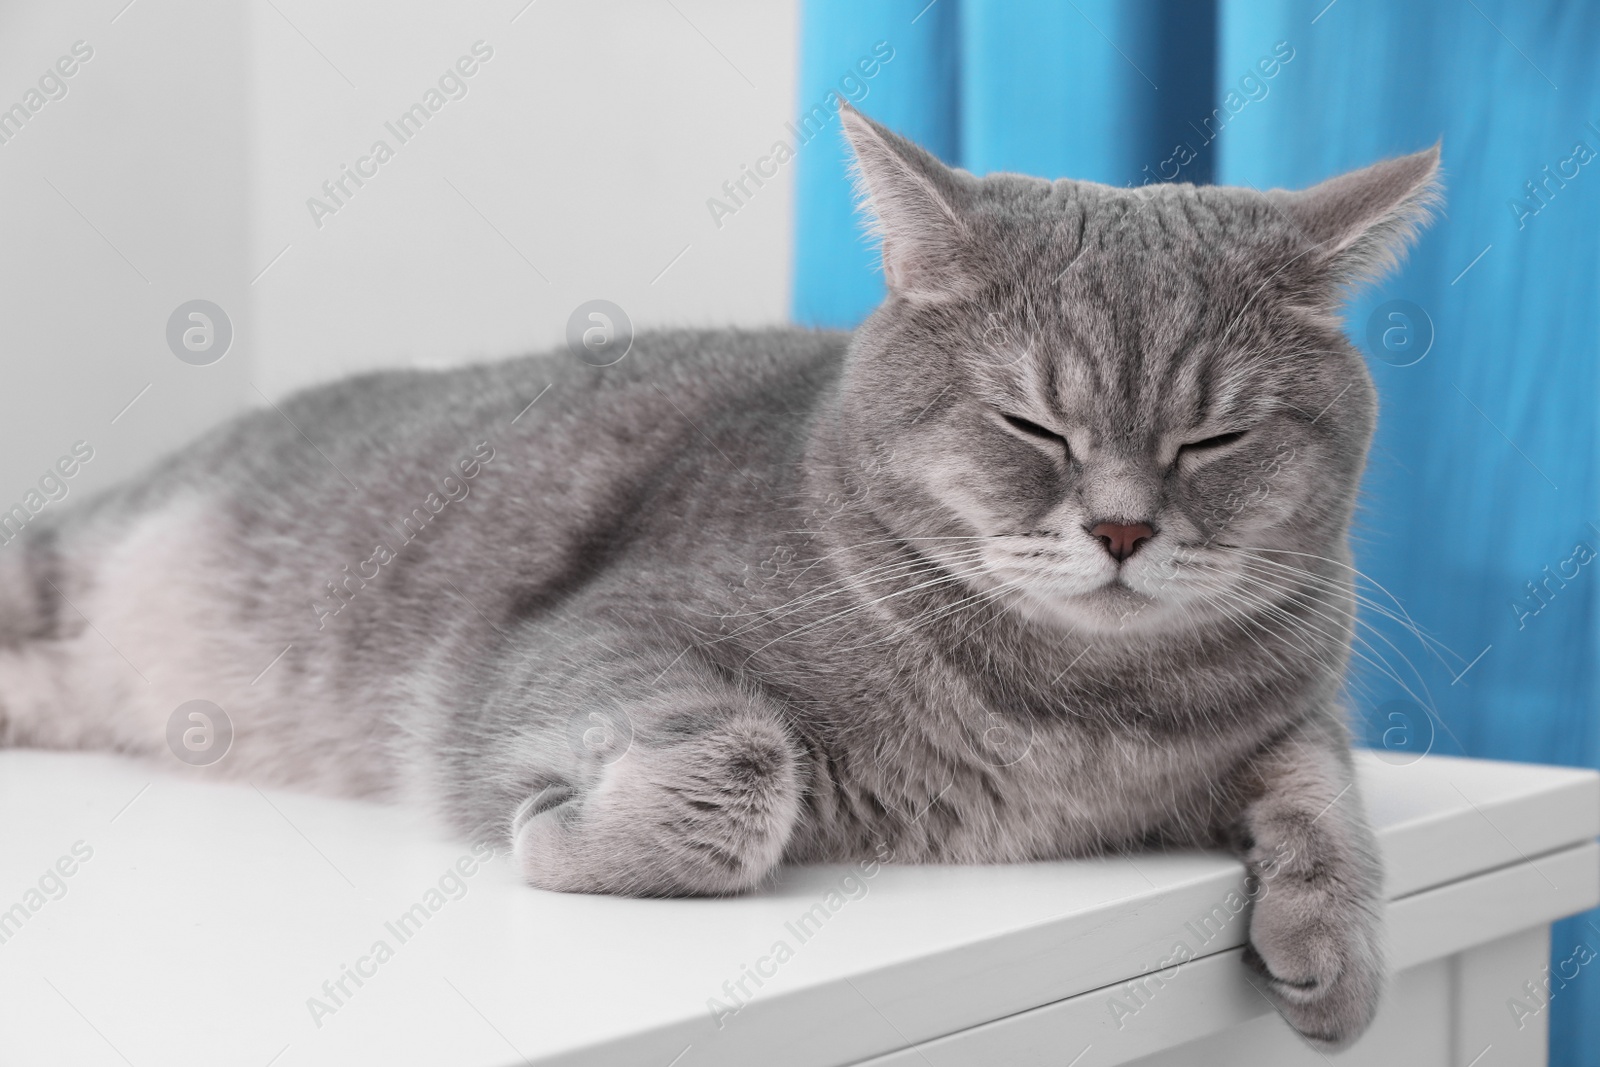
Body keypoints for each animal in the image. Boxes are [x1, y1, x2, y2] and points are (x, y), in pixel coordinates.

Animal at [0, 110, 1446, 1049]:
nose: (1126, 531)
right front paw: (575, 831)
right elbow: (745, 760)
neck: (1077, 710)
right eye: (1032, 425)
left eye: (1217, 437)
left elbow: (1327, 784)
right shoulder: (569, 650)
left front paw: (1335, 939)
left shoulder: (1293, 703)